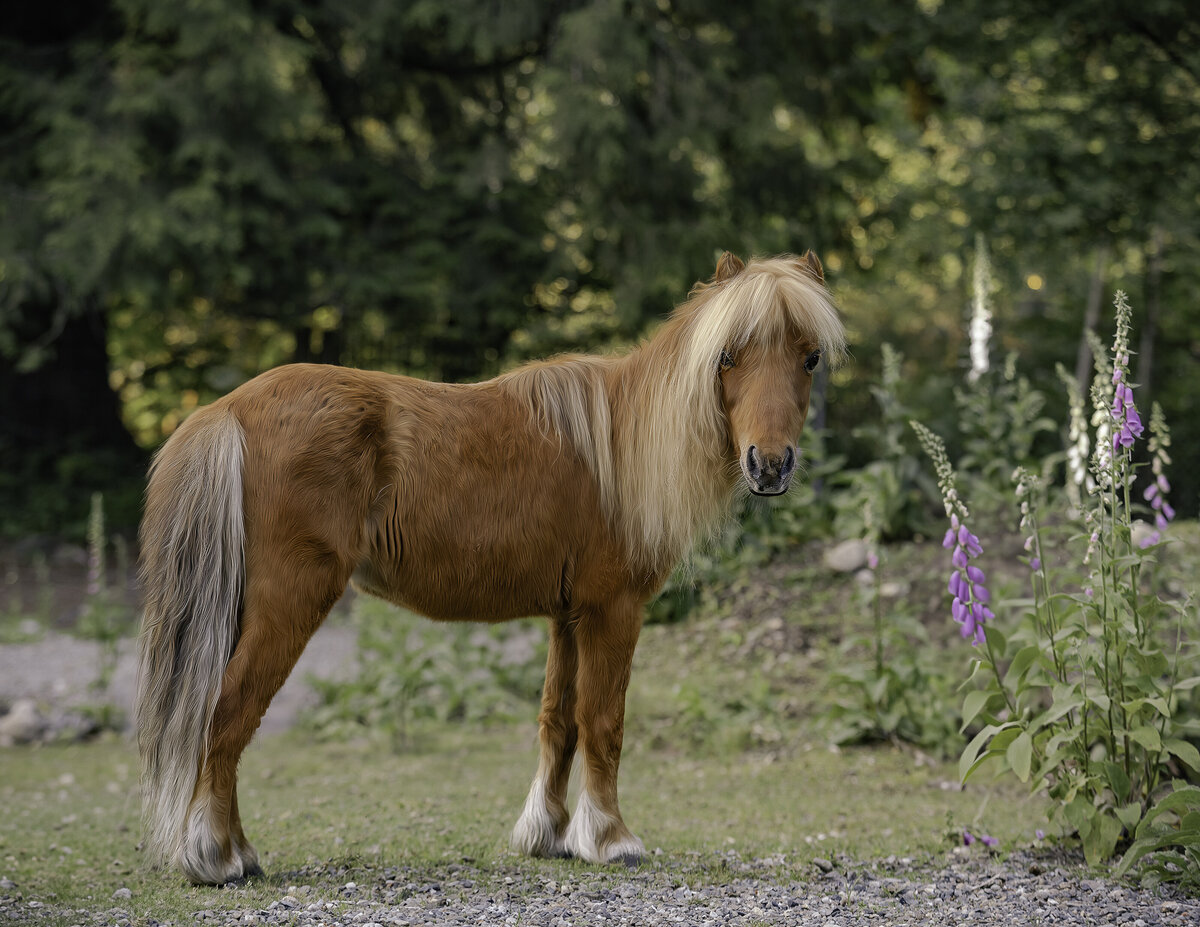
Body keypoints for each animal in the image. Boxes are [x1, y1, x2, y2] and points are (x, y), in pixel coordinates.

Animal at [136, 248, 844, 883]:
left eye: (809, 357)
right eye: (727, 356)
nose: (770, 466)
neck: (621, 444)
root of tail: (226, 409)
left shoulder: (568, 616)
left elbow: (559, 720)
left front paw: (548, 835)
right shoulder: (613, 612)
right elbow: (604, 722)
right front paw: (611, 839)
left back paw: (237, 851)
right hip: (290, 600)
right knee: (228, 714)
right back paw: (219, 859)